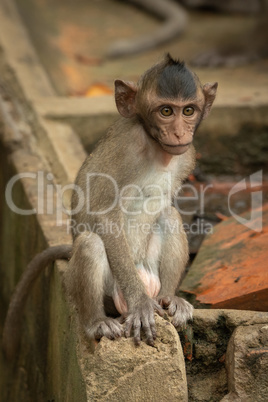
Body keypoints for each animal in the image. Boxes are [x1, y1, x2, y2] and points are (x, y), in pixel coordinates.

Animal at [2, 53, 218, 358]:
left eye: (188, 111)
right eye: (166, 111)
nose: (179, 133)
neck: (155, 148)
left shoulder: (187, 155)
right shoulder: (125, 149)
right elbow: (104, 217)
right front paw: (140, 304)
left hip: (148, 268)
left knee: (169, 216)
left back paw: (170, 298)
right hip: (102, 288)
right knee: (90, 244)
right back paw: (98, 322)